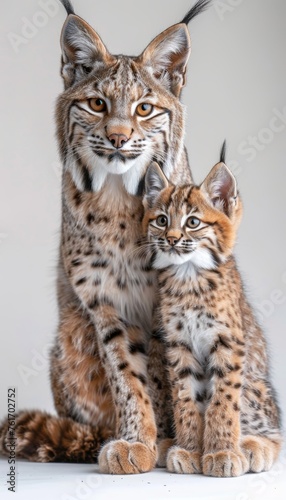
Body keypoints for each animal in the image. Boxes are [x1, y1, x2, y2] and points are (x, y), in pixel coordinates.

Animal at [143, 152, 282, 476]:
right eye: (161, 220)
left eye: (193, 222)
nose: (171, 239)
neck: (189, 277)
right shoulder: (178, 345)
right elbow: (185, 399)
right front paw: (189, 449)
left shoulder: (228, 342)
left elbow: (223, 400)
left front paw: (221, 453)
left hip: (255, 384)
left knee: (276, 431)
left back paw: (253, 446)